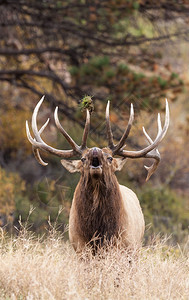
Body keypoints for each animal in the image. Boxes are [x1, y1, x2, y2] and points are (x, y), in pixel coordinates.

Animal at [25, 97, 169, 252]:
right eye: (83, 158)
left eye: (110, 158)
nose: (95, 150)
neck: (100, 231)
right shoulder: (79, 246)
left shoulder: (125, 245)